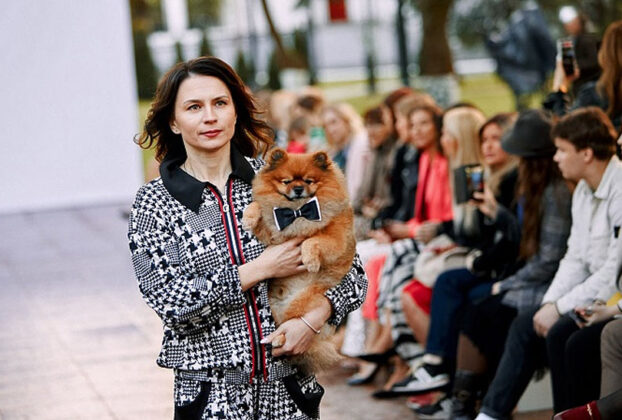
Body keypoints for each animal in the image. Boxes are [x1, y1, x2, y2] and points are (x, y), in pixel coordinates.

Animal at [242, 148, 356, 373]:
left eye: (308, 180)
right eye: (286, 181)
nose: (297, 188)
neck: (298, 211)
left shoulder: (335, 239)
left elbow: (311, 241)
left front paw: (310, 260)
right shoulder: (272, 232)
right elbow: (257, 205)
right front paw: (248, 217)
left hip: (303, 303)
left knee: (290, 327)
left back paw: (280, 340)